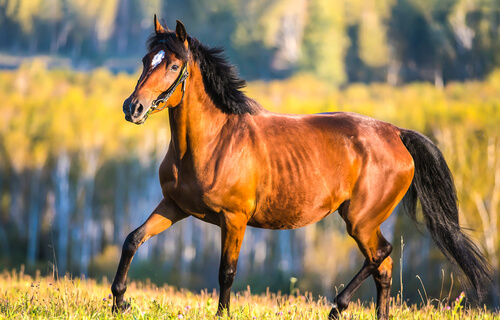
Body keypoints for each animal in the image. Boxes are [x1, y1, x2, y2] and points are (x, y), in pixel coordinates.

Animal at [111, 17, 490, 320]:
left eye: (174, 66)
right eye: (146, 60)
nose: (133, 107)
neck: (213, 142)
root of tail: (396, 133)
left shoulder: (234, 219)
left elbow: (226, 272)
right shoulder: (175, 206)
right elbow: (132, 240)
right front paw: (119, 302)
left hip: (360, 220)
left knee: (381, 254)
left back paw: (337, 306)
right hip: (365, 222)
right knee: (383, 267)